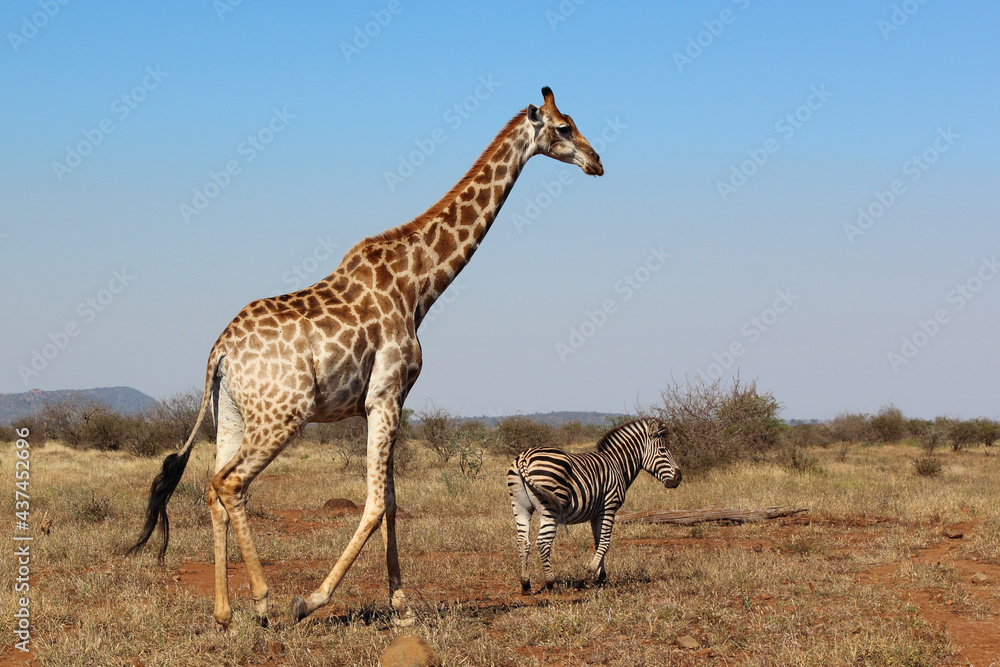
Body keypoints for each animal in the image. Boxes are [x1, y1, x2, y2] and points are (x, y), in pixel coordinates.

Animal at [128, 87, 604, 629]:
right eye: (564, 128)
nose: (597, 162)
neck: (418, 286)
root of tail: (219, 352)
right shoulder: (385, 395)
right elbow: (376, 503)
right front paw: (312, 600)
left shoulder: (388, 401)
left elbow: (392, 502)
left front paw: (402, 605)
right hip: (282, 414)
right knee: (231, 484)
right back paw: (265, 601)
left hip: (230, 414)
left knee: (212, 488)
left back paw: (224, 613)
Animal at [506, 418, 681, 593]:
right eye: (663, 450)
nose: (679, 478)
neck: (617, 464)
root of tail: (525, 456)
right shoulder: (609, 506)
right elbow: (605, 543)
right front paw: (590, 576)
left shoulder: (595, 513)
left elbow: (597, 542)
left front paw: (601, 576)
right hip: (551, 508)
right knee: (543, 543)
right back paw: (552, 583)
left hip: (520, 506)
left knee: (522, 541)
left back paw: (525, 583)